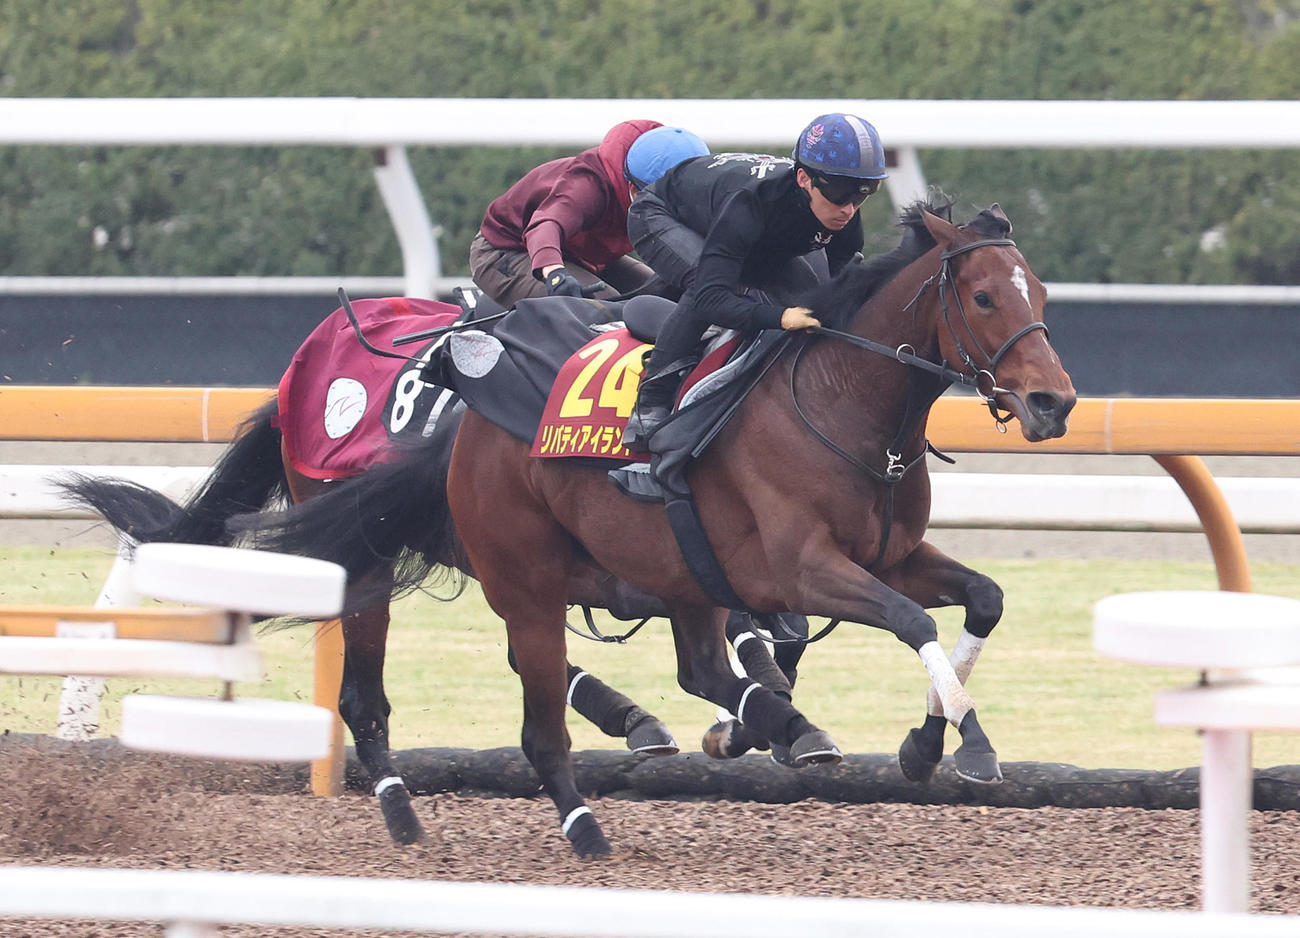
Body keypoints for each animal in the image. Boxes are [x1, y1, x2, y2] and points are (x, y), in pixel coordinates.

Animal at [207, 196, 1075, 858]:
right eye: (985, 297)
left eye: (1038, 293)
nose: (1053, 403)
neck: (838, 401)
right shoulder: (799, 569)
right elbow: (906, 621)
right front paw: (967, 743)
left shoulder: (884, 554)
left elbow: (981, 599)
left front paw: (925, 744)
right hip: (447, 569)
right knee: (406, 701)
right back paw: (489, 818)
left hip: (653, 569)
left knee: (693, 668)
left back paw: (752, 725)